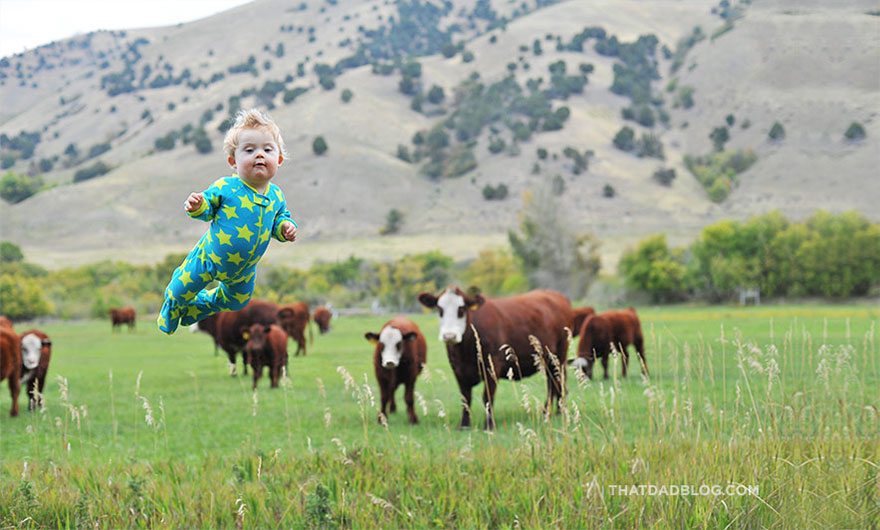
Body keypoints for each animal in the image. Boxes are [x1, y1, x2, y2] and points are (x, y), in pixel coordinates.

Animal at [418, 284, 576, 428]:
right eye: (439, 309)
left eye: (461, 309)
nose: (449, 336)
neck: (465, 350)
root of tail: (556, 295)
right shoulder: (458, 369)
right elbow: (465, 398)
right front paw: (464, 425)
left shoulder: (493, 364)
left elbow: (487, 397)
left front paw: (489, 425)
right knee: (554, 382)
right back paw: (553, 411)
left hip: (558, 355)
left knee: (556, 381)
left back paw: (551, 412)